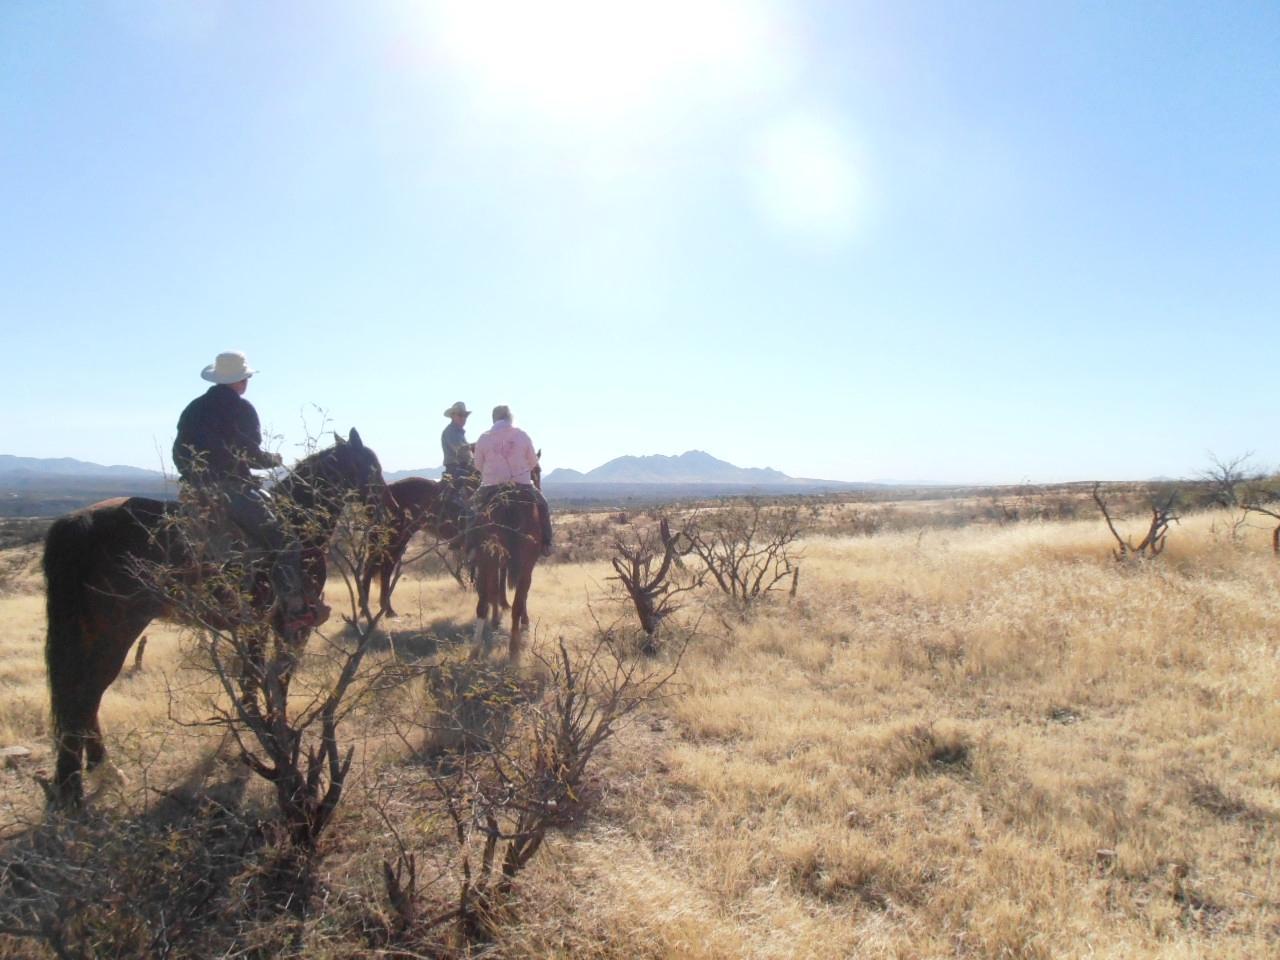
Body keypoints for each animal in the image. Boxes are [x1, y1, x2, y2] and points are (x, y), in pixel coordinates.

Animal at [43, 427, 384, 803]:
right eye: (371, 466)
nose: (385, 507)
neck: (297, 518)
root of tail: (77, 524)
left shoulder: (256, 626)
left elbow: (253, 682)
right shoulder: (288, 624)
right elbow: (276, 680)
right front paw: (275, 740)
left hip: (92, 628)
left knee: (78, 692)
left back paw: (94, 773)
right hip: (118, 626)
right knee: (87, 692)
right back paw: (79, 782)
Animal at [476, 460, 545, 660]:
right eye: (538, 471)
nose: (539, 486)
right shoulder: (526, 567)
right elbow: (523, 595)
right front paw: (525, 621)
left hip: (489, 558)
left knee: (487, 594)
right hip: (523, 564)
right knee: (516, 600)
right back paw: (513, 646)